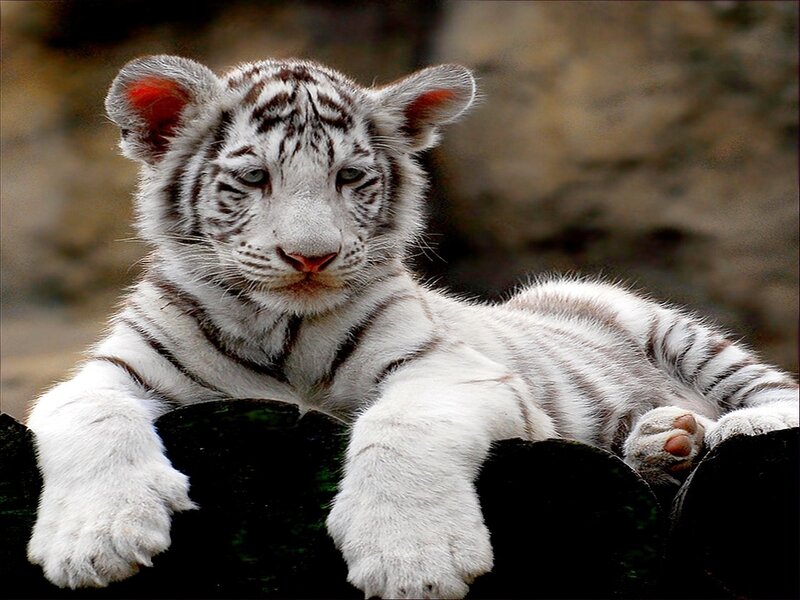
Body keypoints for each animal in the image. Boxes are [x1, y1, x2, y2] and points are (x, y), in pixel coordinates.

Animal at [26, 55, 799, 599]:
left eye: (349, 178)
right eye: (253, 179)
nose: (311, 256)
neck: (279, 327)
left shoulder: (451, 367)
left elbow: (402, 426)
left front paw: (413, 558)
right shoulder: (111, 373)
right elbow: (88, 414)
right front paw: (94, 542)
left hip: (658, 323)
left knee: (768, 390)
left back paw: (725, 428)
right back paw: (666, 442)